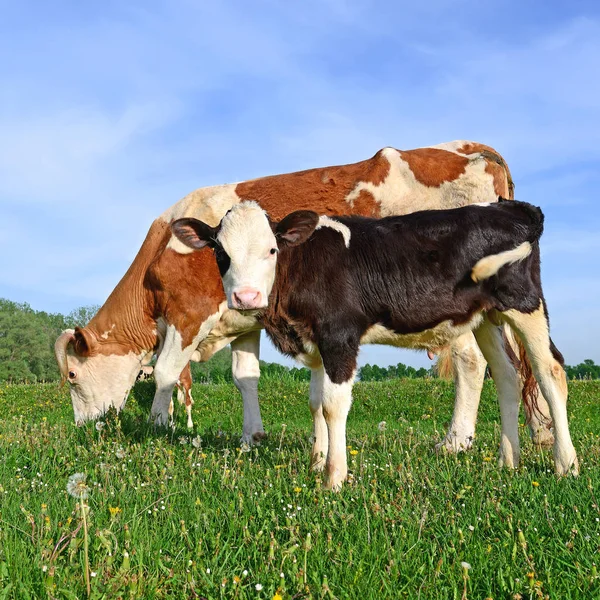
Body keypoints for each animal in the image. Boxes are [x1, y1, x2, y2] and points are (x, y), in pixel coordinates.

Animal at [52, 142, 552, 446]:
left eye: (73, 377)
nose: (85, 428)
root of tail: (467, 146)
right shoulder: (244, 319)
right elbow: (245, 377)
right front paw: (251, 437)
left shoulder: (189, 311)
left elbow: (165, 374)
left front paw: (158, 430)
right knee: (516, 366)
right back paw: (536, 436)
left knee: (473, 363)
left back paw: (455, 442)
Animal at [169, 199, 576, 490]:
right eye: (220, 253)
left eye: (271, 250)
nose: (246, 297)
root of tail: (513, 207)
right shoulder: (317, 343)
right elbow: (315, 403)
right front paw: (316, 461)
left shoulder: (339, 336)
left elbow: (333, 407)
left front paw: (333, 478)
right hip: (486, 316)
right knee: (507, 376)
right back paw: (510, 461)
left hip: (524, 301)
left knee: (550, 371)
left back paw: (566, 465)